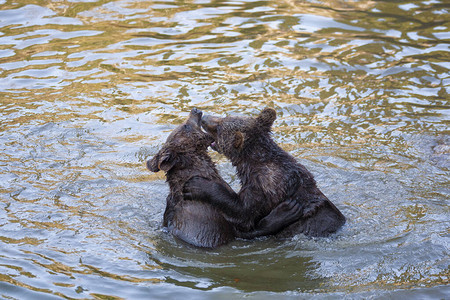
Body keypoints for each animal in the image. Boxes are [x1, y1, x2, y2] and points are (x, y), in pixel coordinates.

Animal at [185, 107, 346, 237]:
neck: (251, 164)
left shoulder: (267, 186)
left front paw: (197, 185)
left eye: (218, 127)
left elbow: (243, 211)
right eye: (225, 117)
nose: (204, 118)